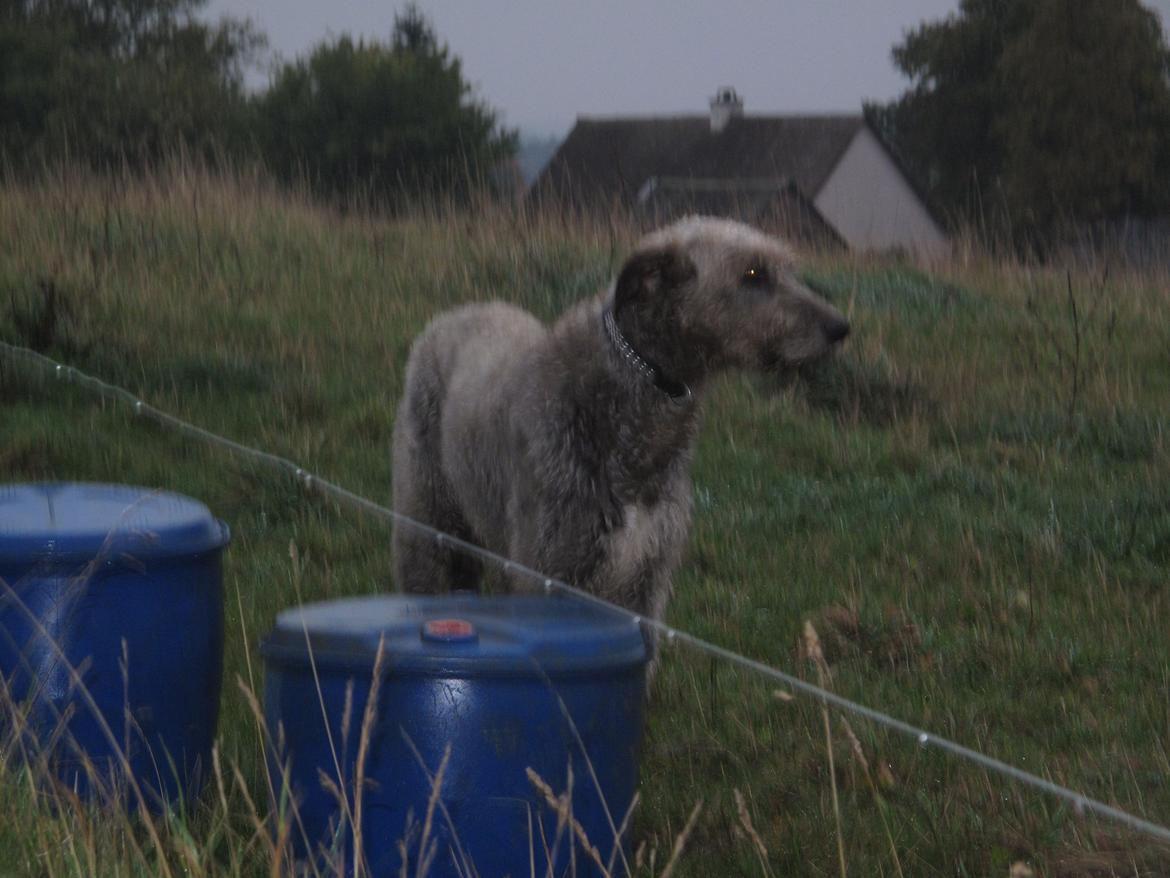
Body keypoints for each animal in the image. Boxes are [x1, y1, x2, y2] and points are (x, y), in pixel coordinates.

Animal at [393, 218, 851, 627]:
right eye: (753, 274)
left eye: (788, 269)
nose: (840, 327)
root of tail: (454, 315)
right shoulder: (546, 570)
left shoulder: (644, 582)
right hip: (426, 521)